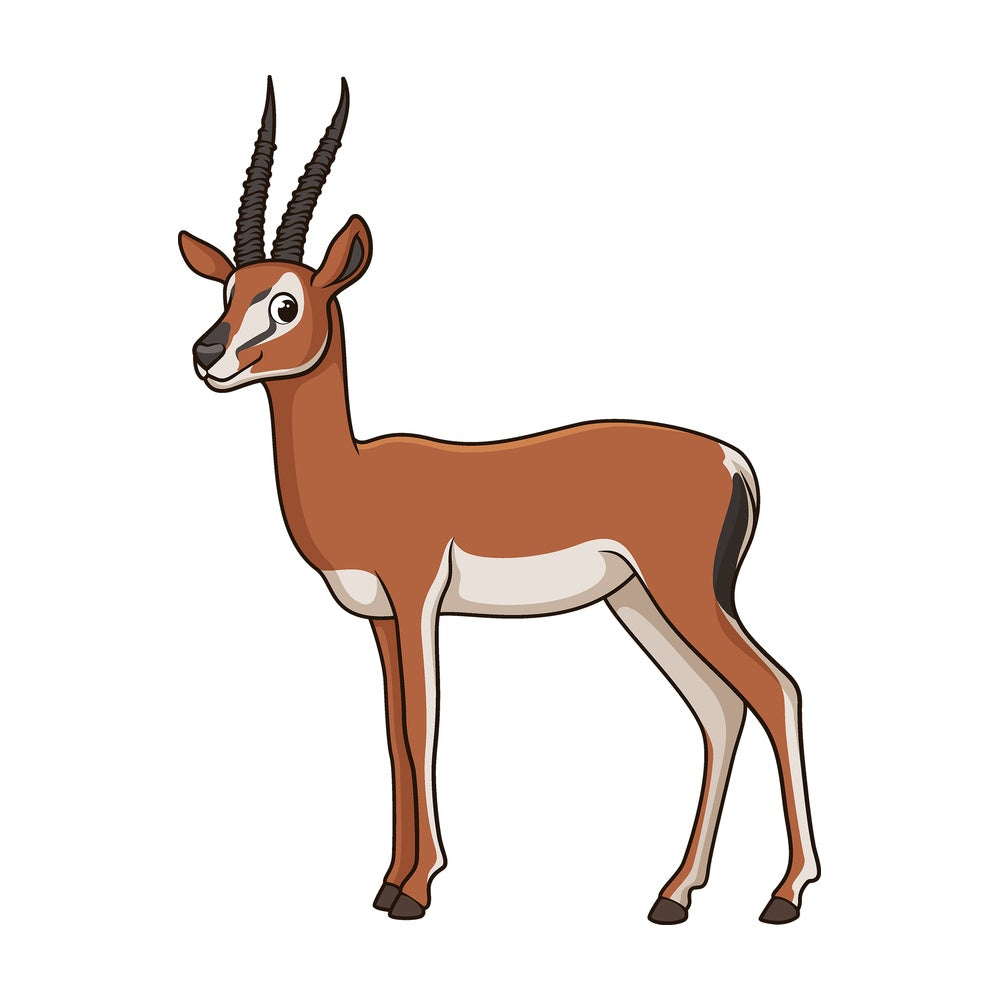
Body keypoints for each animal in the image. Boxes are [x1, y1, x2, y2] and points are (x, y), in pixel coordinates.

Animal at [180, 77, 820, 924]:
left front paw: (417, 889)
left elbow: (422, 725)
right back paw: (674, 895)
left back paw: (786, 894)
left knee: (776, 690)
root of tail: (730, 458)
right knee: (719, 708)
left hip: (683, 594)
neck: (357, 475)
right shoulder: (383, 619)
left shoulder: (417, 597)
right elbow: (391, 733)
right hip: (641, 604)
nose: (206, 354)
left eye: (284, 304)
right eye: (227, 292)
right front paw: (388, 881)